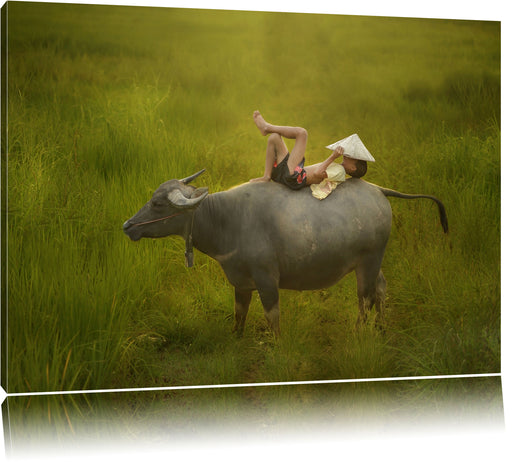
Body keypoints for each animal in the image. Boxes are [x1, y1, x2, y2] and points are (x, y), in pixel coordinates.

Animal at [122, 170, 446, 336]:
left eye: (158, 204)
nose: (128, 226)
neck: (227, 219)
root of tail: (379, 190)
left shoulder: (267, 281)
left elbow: (272, 317)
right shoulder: (241, 282)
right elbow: (239, 312)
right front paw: (236, 337)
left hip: (368, 261)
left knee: (364, 298)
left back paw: (359, 332)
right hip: (373, 261)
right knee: (381, 288)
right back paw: (381, 327)